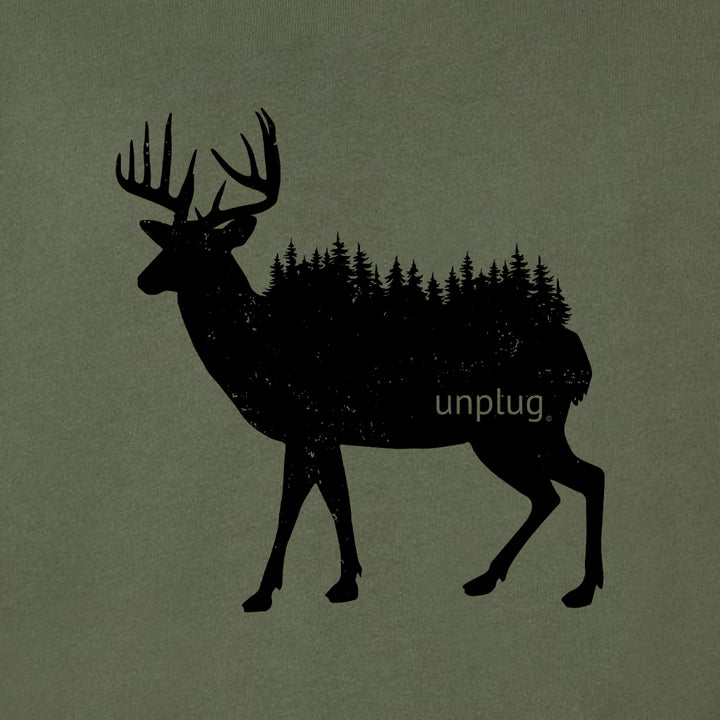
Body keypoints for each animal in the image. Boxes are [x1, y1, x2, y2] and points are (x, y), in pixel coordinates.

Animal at [117, 110, 604, 612]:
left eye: (206, 247)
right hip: (521, 432)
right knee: (567, 487)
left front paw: (290, 589)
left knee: (575, 483)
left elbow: (304, 507)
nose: (144, 279)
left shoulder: (312, 425)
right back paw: (498, 578)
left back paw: (577, 587)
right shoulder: (318, 435)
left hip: (515, 427)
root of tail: (580, 358)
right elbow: (331, 501)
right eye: (167, 242)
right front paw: (326, 582)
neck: (262, 351)